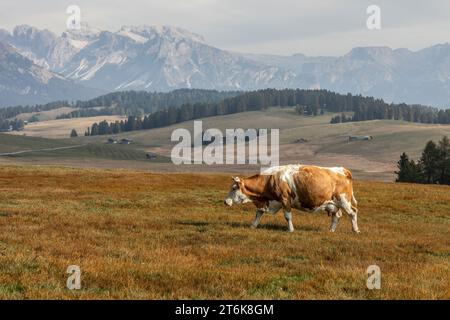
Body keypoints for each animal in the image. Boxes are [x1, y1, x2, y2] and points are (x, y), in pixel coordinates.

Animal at [223, 165, 360, 232]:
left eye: (234, 188)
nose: (225, 201)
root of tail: (343, 170)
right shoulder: (267, 202)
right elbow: (258, 214)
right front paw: (253, 226)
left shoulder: (285, 200)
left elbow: (288, 216)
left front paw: (291, 230)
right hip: (334, 204)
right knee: (336, 216)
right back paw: (331, 230)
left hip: (344, 200)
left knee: (353, 212)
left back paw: (355, 230)